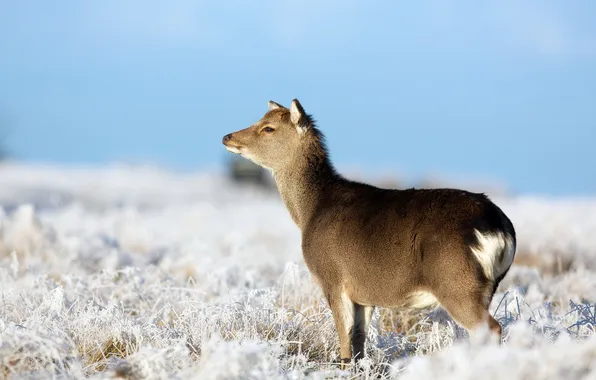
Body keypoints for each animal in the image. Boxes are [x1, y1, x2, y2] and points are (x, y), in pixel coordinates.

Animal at [221, 98, 516, 368]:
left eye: (268, 128)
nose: (227, 136)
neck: (310, 213)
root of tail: (500, 228)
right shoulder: (363, 292)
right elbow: (359, 337)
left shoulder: (332, 277)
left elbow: (343, 334)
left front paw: (342, 368)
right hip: (486, 287)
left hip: (457, 282)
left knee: (491, 328)